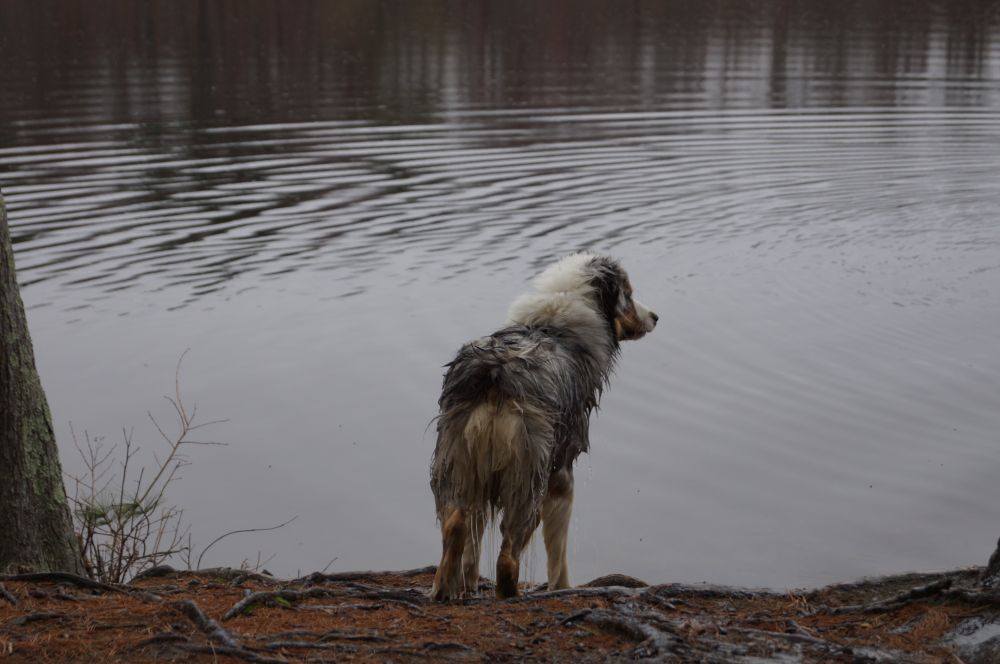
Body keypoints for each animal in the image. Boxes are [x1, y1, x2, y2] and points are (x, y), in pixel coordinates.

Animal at [429, 252, 657, 600]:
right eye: (629, 295)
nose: (655, 317)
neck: (554, 324)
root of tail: (495, 371)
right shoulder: (561, 471)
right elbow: (558, 550)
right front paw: (562, 588)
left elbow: (473, 545)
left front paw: (468, 585)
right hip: (527, 478)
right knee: (508, 557)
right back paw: (510, 596)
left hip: (456, 462)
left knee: (456, 521)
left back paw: (443, 589)